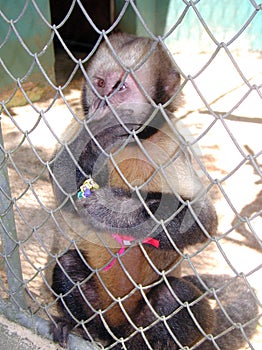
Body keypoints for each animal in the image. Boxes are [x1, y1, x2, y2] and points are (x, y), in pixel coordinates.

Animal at [50, 32, 258, 348]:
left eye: (121, 87)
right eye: (101, 84)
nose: (104, 105)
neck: (134, 141)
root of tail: (118, 330)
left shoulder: (173, 144)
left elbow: (203, 220)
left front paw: (117, 212)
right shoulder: (82, 123)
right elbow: (60, 180)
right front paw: (97, 143)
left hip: (143, 322)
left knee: (173, 298)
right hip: (101, 311)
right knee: (68, 264)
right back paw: (84, 329)